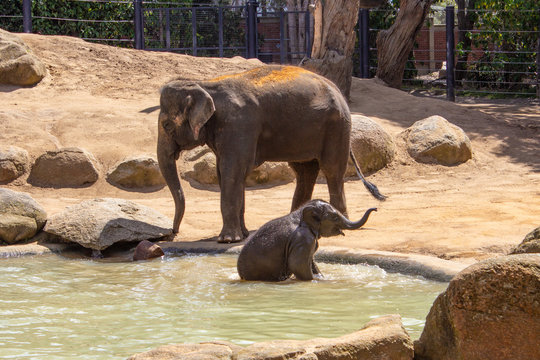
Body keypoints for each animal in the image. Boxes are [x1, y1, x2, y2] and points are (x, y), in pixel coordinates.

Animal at [156, 66, 384, 243]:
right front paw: (243, 235)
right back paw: (295, 221)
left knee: (332, 170)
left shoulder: (239, 125)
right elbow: (229, 174)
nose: (172, 233)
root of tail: (336, 88)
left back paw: (340, 222)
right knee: (304, 171)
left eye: (167, 125)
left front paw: (227, 240)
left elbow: (232, 172)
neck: (204, 85)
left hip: (337, 127)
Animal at [236, 200, 376, 282]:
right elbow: (297, 264)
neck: (300, 212)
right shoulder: (303, 239)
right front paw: (316, 281)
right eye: (335, 217)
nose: (375, 209)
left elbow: (311, 263)